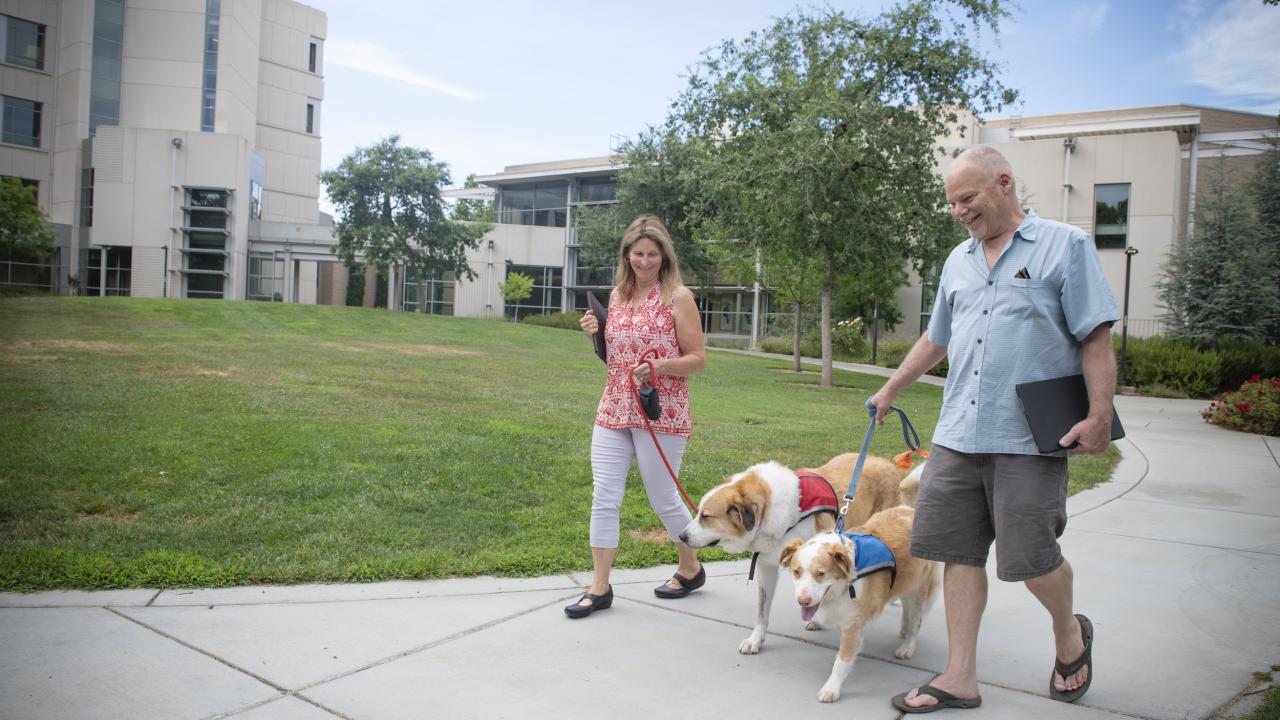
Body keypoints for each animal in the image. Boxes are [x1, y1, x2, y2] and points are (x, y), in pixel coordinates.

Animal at [680, 450, 911, 653]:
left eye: (706, 516)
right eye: (699, 513)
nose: (682, 536)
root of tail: (885, 462)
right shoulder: (766, 568)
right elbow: (762, 610)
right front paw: (756, 640)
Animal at [773, 504, 947, 702]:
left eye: (821, 574)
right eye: (796, 572)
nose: (803, 601)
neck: (844, 584)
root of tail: (909, 509)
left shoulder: (852, 627)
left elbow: (841, 661)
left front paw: (831, 687)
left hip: (918, 590)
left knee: (917, 620)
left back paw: (907, 646)